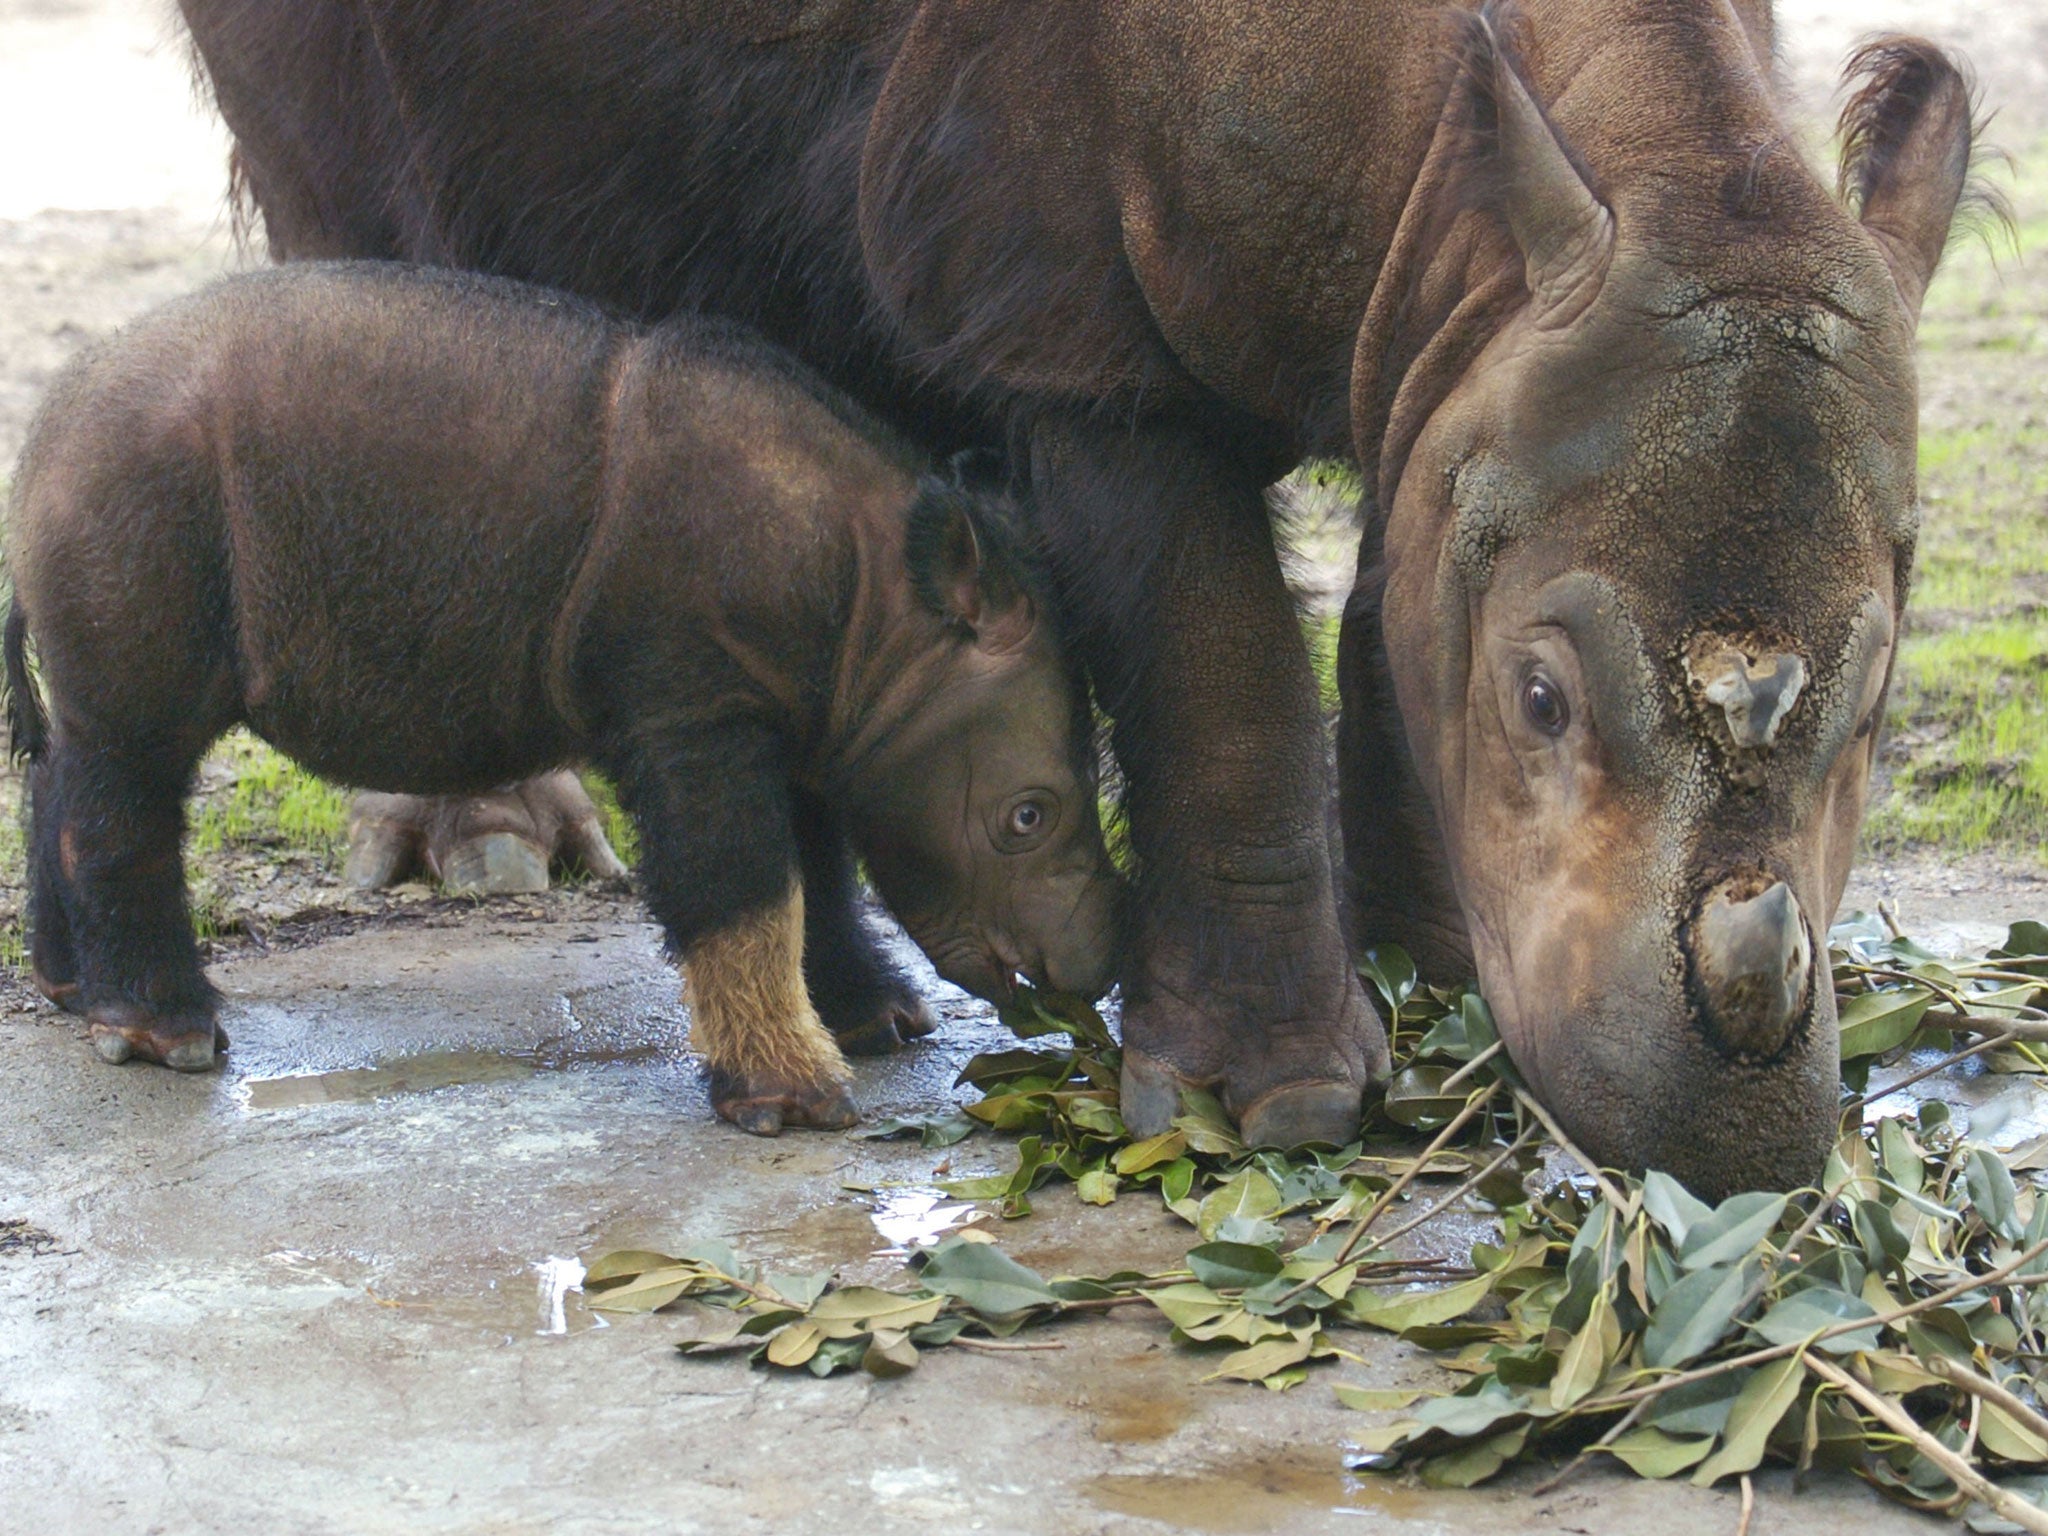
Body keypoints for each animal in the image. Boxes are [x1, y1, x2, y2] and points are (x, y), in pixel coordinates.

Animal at [4, 262, 1122, 1130]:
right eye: (1026, 817)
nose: (1095, 966)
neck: (884, 611)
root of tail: (42, 435)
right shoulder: (693, 705)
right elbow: (742, 883)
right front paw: (794, 1100)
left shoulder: (801, 714)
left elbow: (820, 872)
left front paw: (877, 1024)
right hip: (134, 490)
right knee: (139, 754)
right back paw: (169, 1039)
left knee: (86, 748)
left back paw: (74, 996)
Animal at [184, 0, 1990, 1196]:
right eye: (1544, 701)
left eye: (1880, 720)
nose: (1731, 1148)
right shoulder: (1062, 323)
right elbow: (1217, 653)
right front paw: (1267, 1110)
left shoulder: (1449, 347)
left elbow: (1401, 601)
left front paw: (1436, 986)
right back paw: (493, 857)